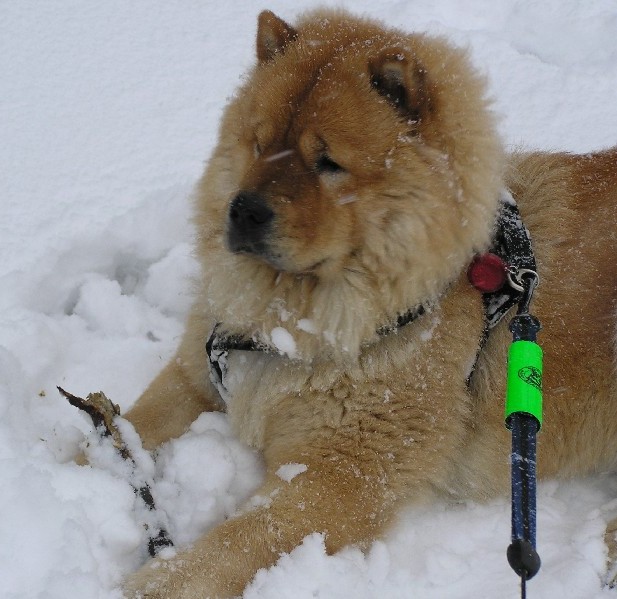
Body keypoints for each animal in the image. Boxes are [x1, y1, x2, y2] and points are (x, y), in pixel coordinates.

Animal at [122, 8, 616, 596]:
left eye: (328, 163)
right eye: (259, 145)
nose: (242, 210)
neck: (293, 320)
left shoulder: (344, 471)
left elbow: (239, 542)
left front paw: (151, 582)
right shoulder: (199, 371)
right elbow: (130, 423)